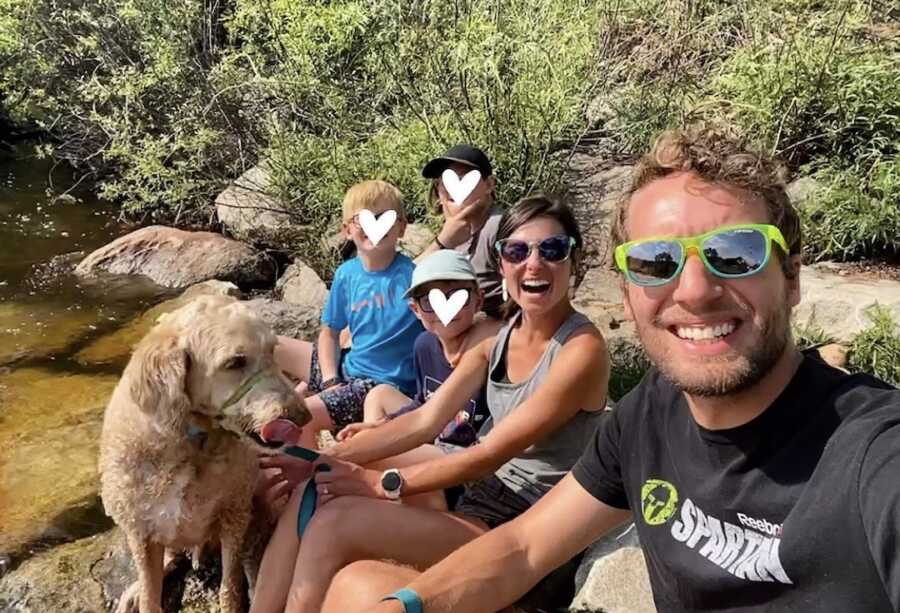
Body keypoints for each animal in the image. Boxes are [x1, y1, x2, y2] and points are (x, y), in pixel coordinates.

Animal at [100, 294, 312, 608]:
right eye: (235, 362)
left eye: (273, 350)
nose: (303, 416)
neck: (189, 443)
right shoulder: (142, 532)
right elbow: (151, 596)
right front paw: (144, 593)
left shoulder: (234, 515)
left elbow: (230, 585)